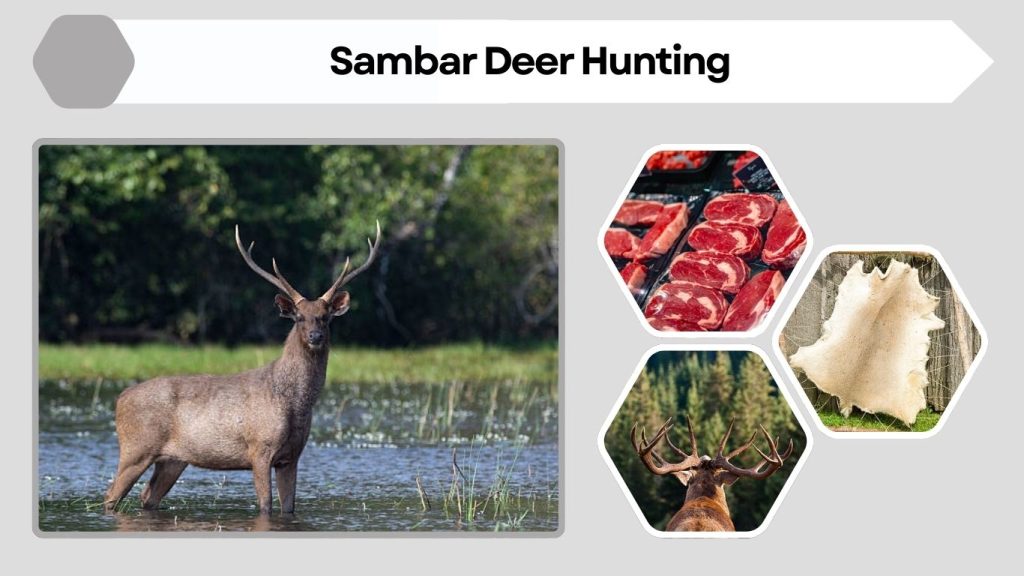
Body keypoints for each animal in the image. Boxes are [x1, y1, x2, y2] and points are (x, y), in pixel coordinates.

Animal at [103, 222, 381, 516]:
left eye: (325, 317)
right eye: (298, 317)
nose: (315, 336)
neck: (295, 403)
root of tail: (120, 398)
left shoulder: (292, 456)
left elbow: (289, 507)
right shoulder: (259, 448)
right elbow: (265, 505)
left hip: (172, 460)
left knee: (147, 497)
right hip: (135, 448)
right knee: (111, 495)